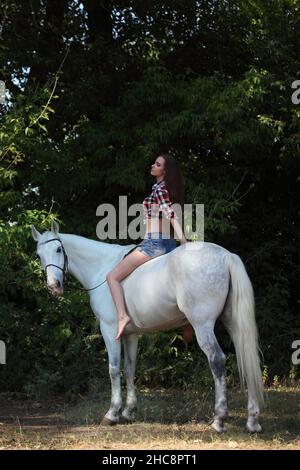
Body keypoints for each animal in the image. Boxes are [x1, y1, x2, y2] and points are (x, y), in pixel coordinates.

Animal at [31, 220, 264, 434]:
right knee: (247, 357)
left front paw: (112, 413)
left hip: (203, 326)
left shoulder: (109, 330)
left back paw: (219, 420)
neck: (101, 267)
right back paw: (253, 421)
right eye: (39, 255)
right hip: (233, 323)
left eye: (58, 249)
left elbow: (114, 368)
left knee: (217, 361)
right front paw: (129, 412)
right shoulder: (130, 334)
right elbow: (130, 367)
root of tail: (225, 256)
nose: (54, 286)